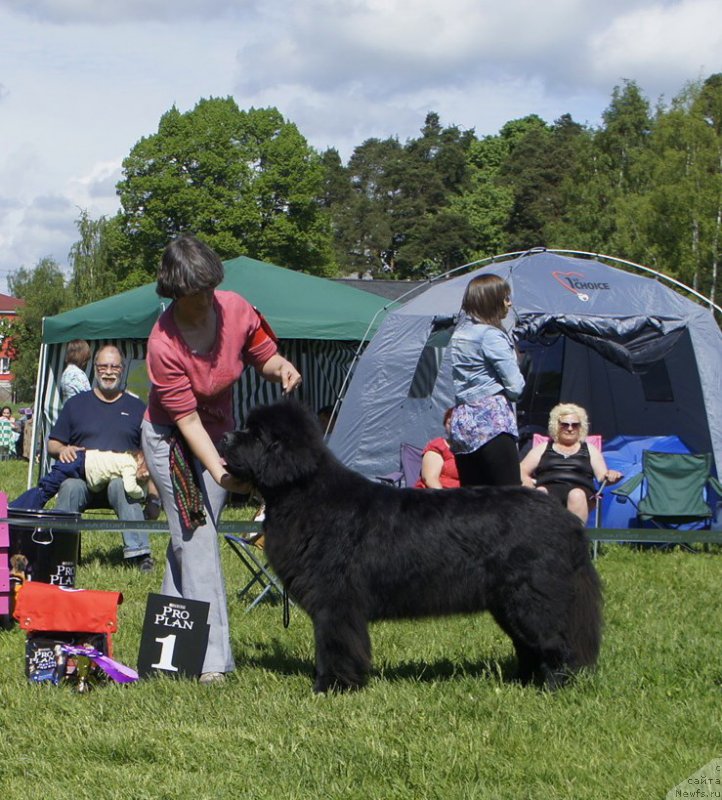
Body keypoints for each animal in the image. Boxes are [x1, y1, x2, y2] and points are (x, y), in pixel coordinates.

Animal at [221, 404, 600, 692]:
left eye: (256, 435)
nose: (224, 436)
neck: (304, 492)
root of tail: (566, 520)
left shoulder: (336, 601)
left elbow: (336, 644)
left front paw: (332, 686)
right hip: (508, 603)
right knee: (528, 646)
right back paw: (521, 682)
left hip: (532, 599)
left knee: (557, 644)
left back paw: (553, 687)